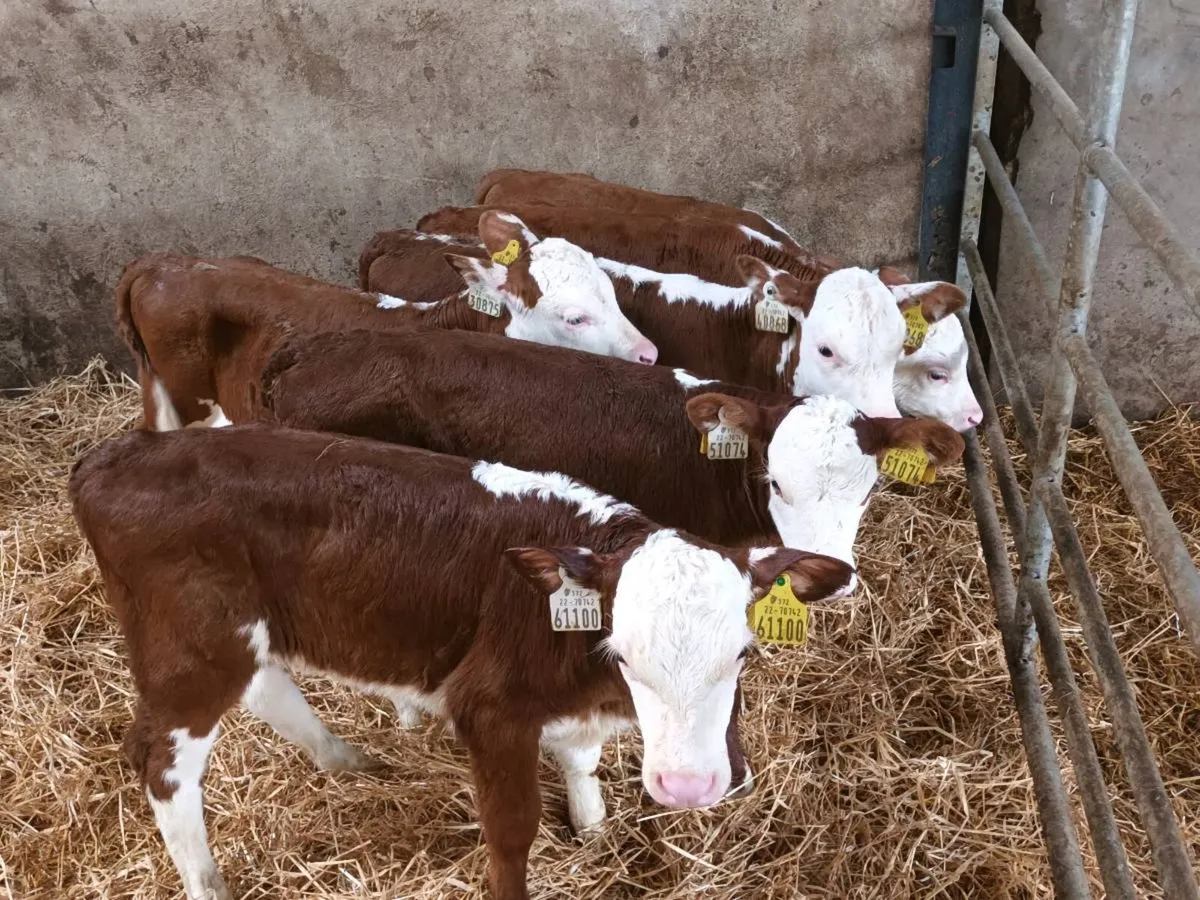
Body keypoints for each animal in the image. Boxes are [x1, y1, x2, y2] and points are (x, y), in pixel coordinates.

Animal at [70, 425, 855, 900]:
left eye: (744, 651)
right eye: (624, 653)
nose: (689, 787)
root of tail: (118, 454)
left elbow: (581, 759)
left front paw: (593, 823)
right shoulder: (489, 707)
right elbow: (511, 831)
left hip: (241, 633)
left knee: (265, 689)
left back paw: (348, 759)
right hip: (192, 645)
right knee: (164, 763)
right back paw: (208, 882)